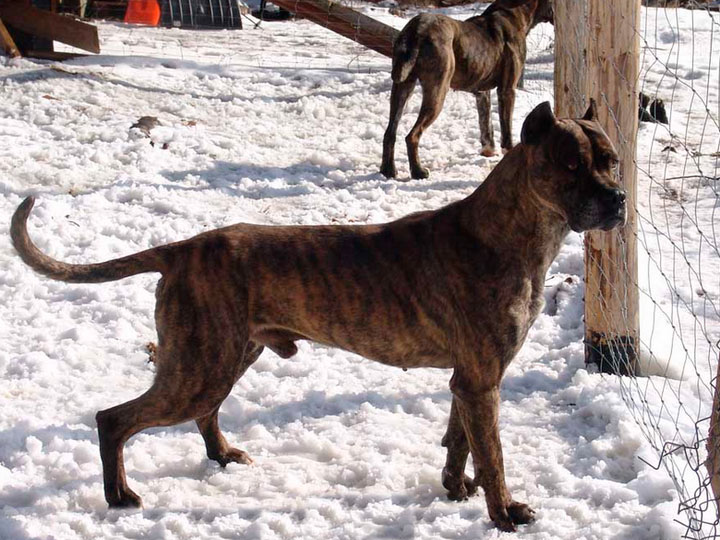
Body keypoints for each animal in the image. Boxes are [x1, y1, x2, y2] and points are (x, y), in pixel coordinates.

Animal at [11, 101, 625, 532]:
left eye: (612, 160)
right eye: (571, 165)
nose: (618, 199)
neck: (509, 233)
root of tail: (182, 248)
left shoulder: (470, 381)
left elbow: (460, 443)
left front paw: (455, 489)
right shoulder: (481, 382)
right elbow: (492, 456)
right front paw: (505, 514)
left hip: (225, 357)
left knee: (204, 412)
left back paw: (221, 455)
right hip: (198, 368)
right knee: (113, 419)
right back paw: (119, 496)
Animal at [380, 0, 553, 180]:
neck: (514, 12)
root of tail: (418, 28)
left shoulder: (482, 93)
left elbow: (486, 125)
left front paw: (488, 151)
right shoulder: (507, 90)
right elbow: (506, 130)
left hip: (402, 88)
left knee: (390, 133)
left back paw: (388, 170)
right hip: (437, 91)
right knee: (412, 136)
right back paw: (418, 172)